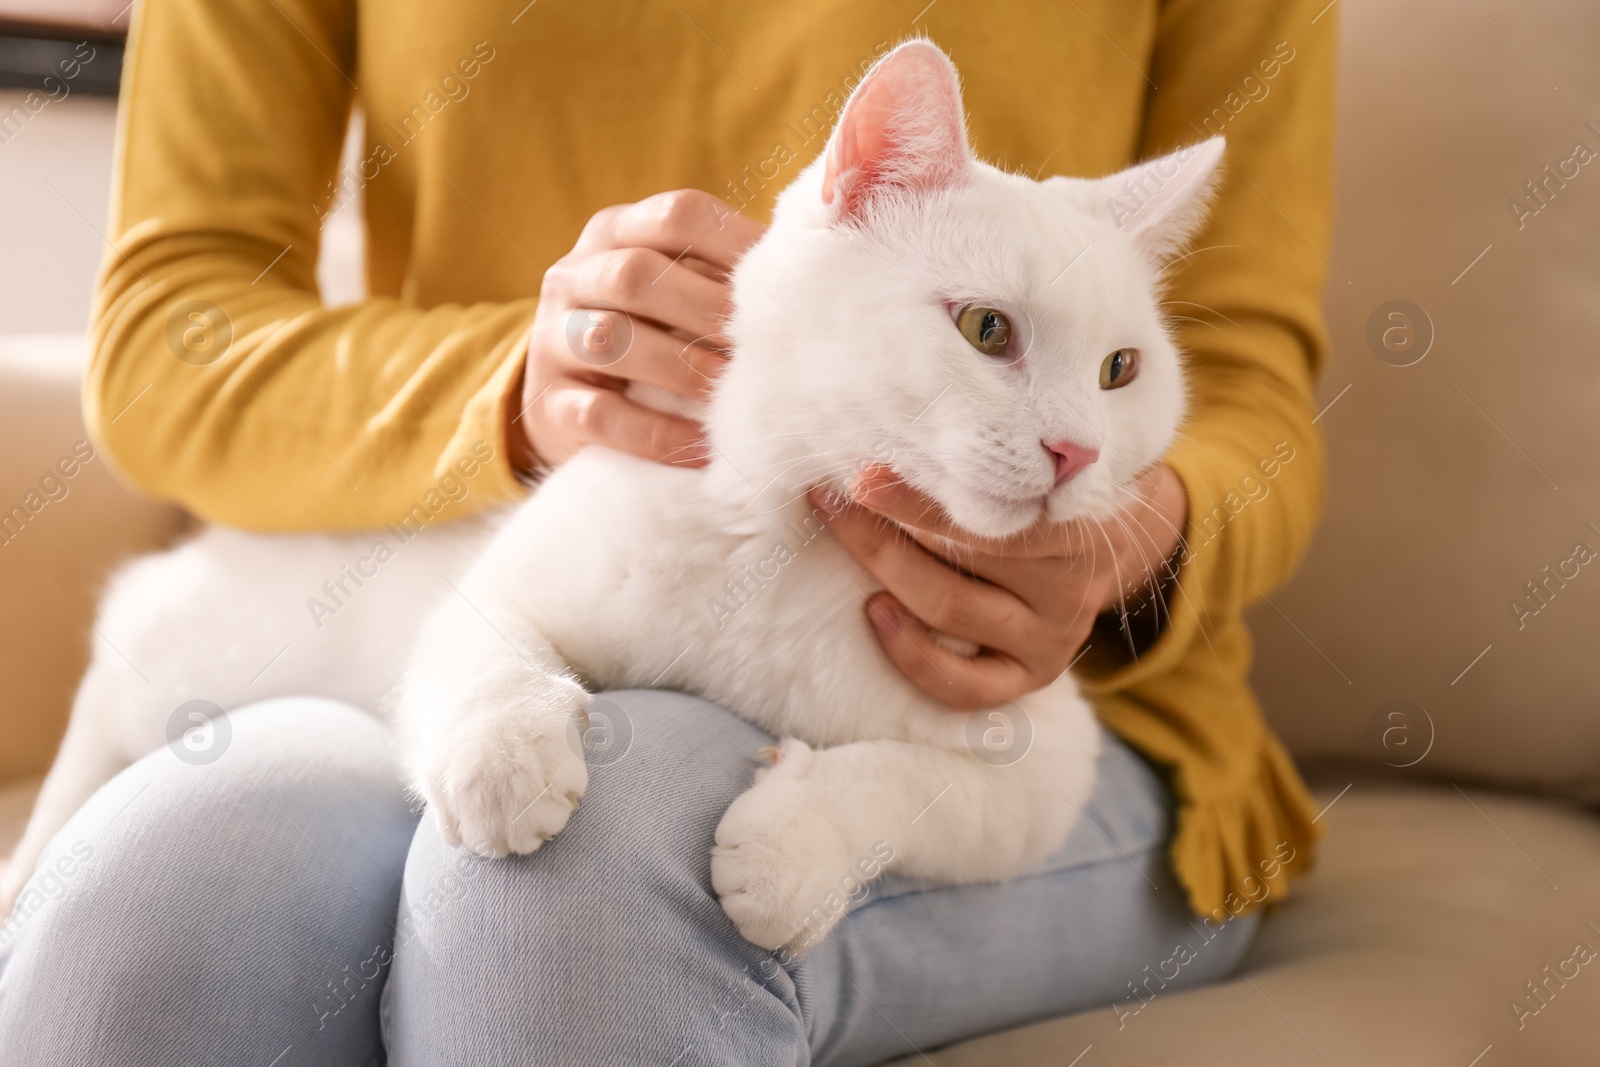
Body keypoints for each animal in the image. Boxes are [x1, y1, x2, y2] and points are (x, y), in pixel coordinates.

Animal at [3, 41, 1222, 953]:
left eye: (1121, 371)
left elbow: (904, 787)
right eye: (986, 329)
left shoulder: (1044, 776)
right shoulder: (496, 594)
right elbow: (489, 657)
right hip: (185, 656)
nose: (1075, 450)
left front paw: (790, 851)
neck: (790, 552)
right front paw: (507, 763)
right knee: (104, 693)